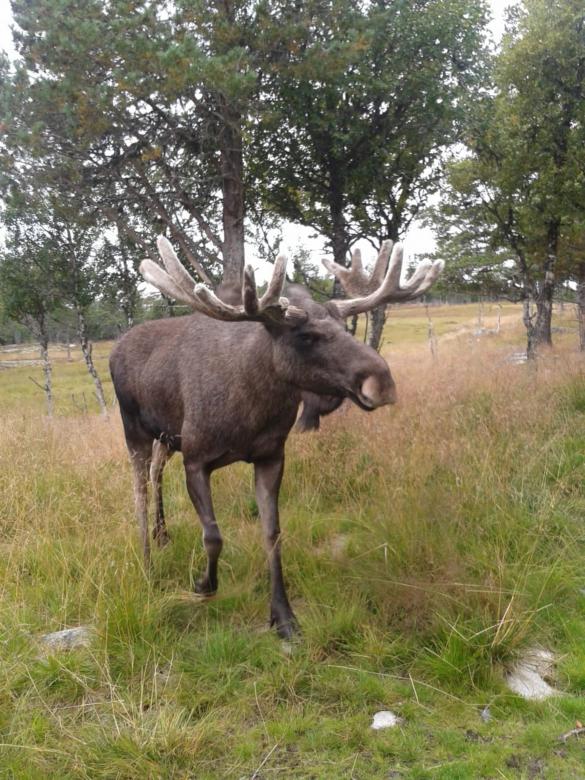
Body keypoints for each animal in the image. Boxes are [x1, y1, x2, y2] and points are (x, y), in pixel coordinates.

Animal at [109, 236, 443, 638]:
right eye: (306, 336)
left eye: (345, 326)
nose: (382, 382)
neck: (252, 409)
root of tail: (116, 347)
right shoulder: (197, 458)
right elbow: (213, 535)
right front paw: (204, 585)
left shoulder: (271, 456)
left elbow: (273, 534)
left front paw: (283, 617)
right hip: (134, 431)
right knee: (139, 489)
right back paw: (146, 560)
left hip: (166, 436)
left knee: (156, 472)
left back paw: (163, 536)